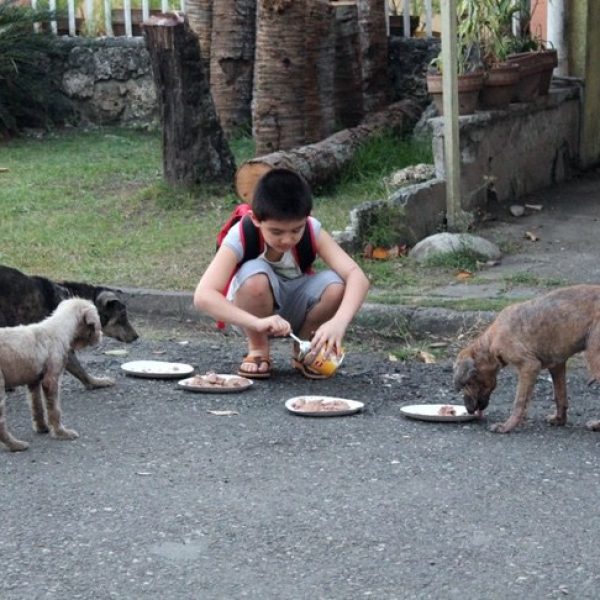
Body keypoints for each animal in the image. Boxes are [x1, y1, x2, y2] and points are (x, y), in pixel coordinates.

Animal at [0, 298, 102, 452]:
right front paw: (61, 432)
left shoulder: (34, 380)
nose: (101, 337)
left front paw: (42, 427)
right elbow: (54, 409)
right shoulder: (51, 380)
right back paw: (16, 445)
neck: (59, 328)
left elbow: (37, 406)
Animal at [452, 284, 600, 432]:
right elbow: (560, 395)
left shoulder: (529, 366)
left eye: (468, 383)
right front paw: (559, 419)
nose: (469, 410)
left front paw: (507, 426)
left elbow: (519, 401)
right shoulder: (556, 365)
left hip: (593, 357)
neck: (490, 344)